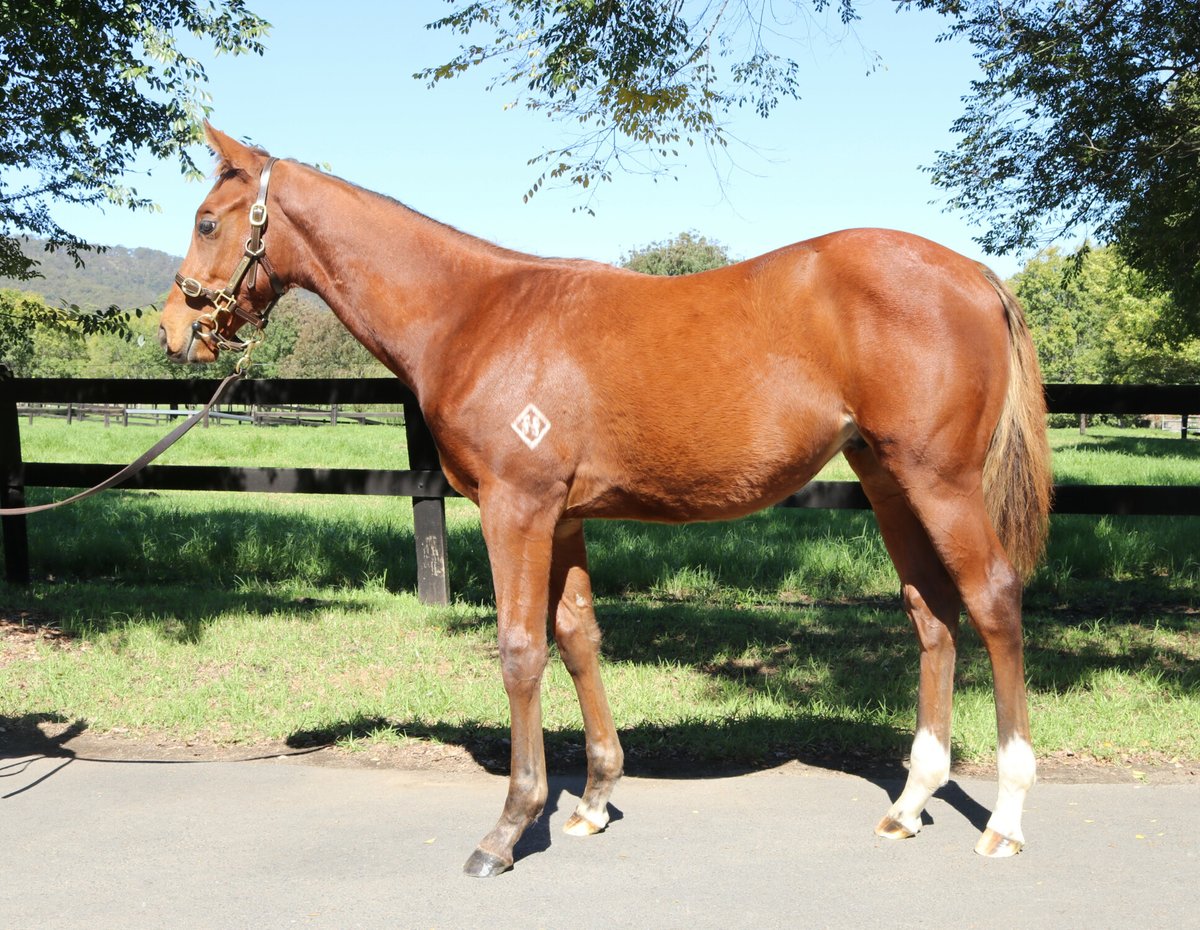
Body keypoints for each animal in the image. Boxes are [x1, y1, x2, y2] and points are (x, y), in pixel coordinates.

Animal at [157, 127, 1051, 878]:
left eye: (207, 221)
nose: (173, 330)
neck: (473, 314)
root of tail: (972, 274)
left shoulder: (515, 510)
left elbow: (521, 649)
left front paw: (509, 827)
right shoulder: (565, 518)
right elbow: (578, 638)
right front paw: (591, 800)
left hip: (941, 483)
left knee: (993, 602)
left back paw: (1006, 817)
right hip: (888, 482)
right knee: (933, 614)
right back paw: (911, 802)